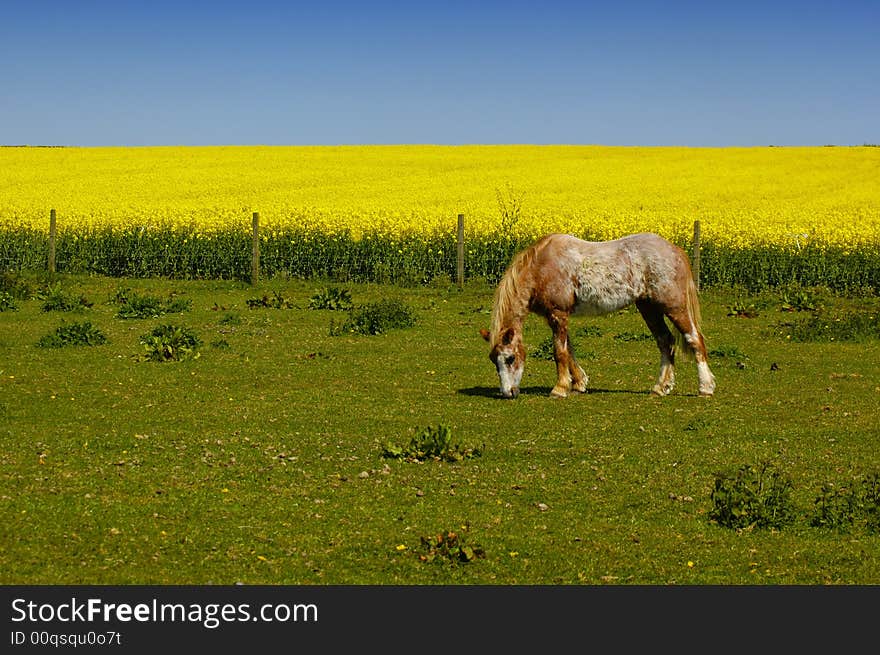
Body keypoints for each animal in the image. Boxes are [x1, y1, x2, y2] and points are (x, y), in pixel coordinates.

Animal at [482, 236, 716, 400]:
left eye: (510, 358)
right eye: (494, 360)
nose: (508, 393)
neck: (542, 267)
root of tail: (675, 250)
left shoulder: (558, 314)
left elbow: (559, 352)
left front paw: (560, 388)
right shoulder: (555, 317)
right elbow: (569, 350)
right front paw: (579, 383)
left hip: (674, 307)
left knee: (694, 339)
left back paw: (705, 387)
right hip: (649, 308)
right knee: (665, 342)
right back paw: (660, 387)